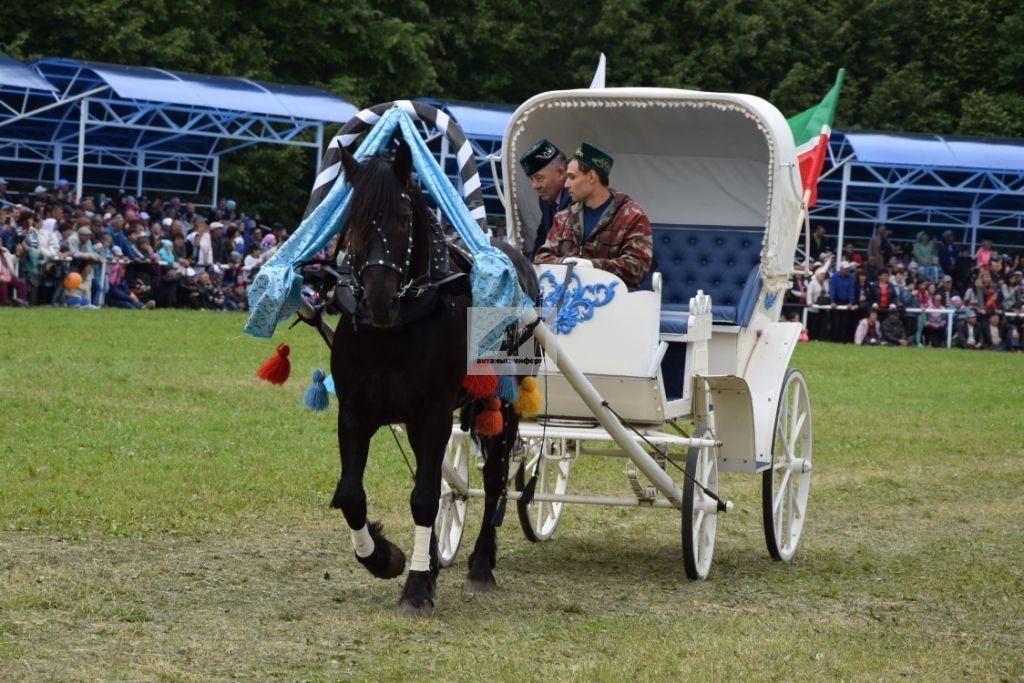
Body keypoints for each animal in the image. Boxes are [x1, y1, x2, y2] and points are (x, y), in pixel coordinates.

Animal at [327, 139, 540, 618]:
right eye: (351, 221)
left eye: (403, 218)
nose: (380, 300)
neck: (394, 331)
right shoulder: (354, 413)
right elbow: (350, 495)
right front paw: (385, 558)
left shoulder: (436, 412)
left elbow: (424, 498)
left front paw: (417, 587)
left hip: (505, 404)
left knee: (495, 480)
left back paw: (481, 563)